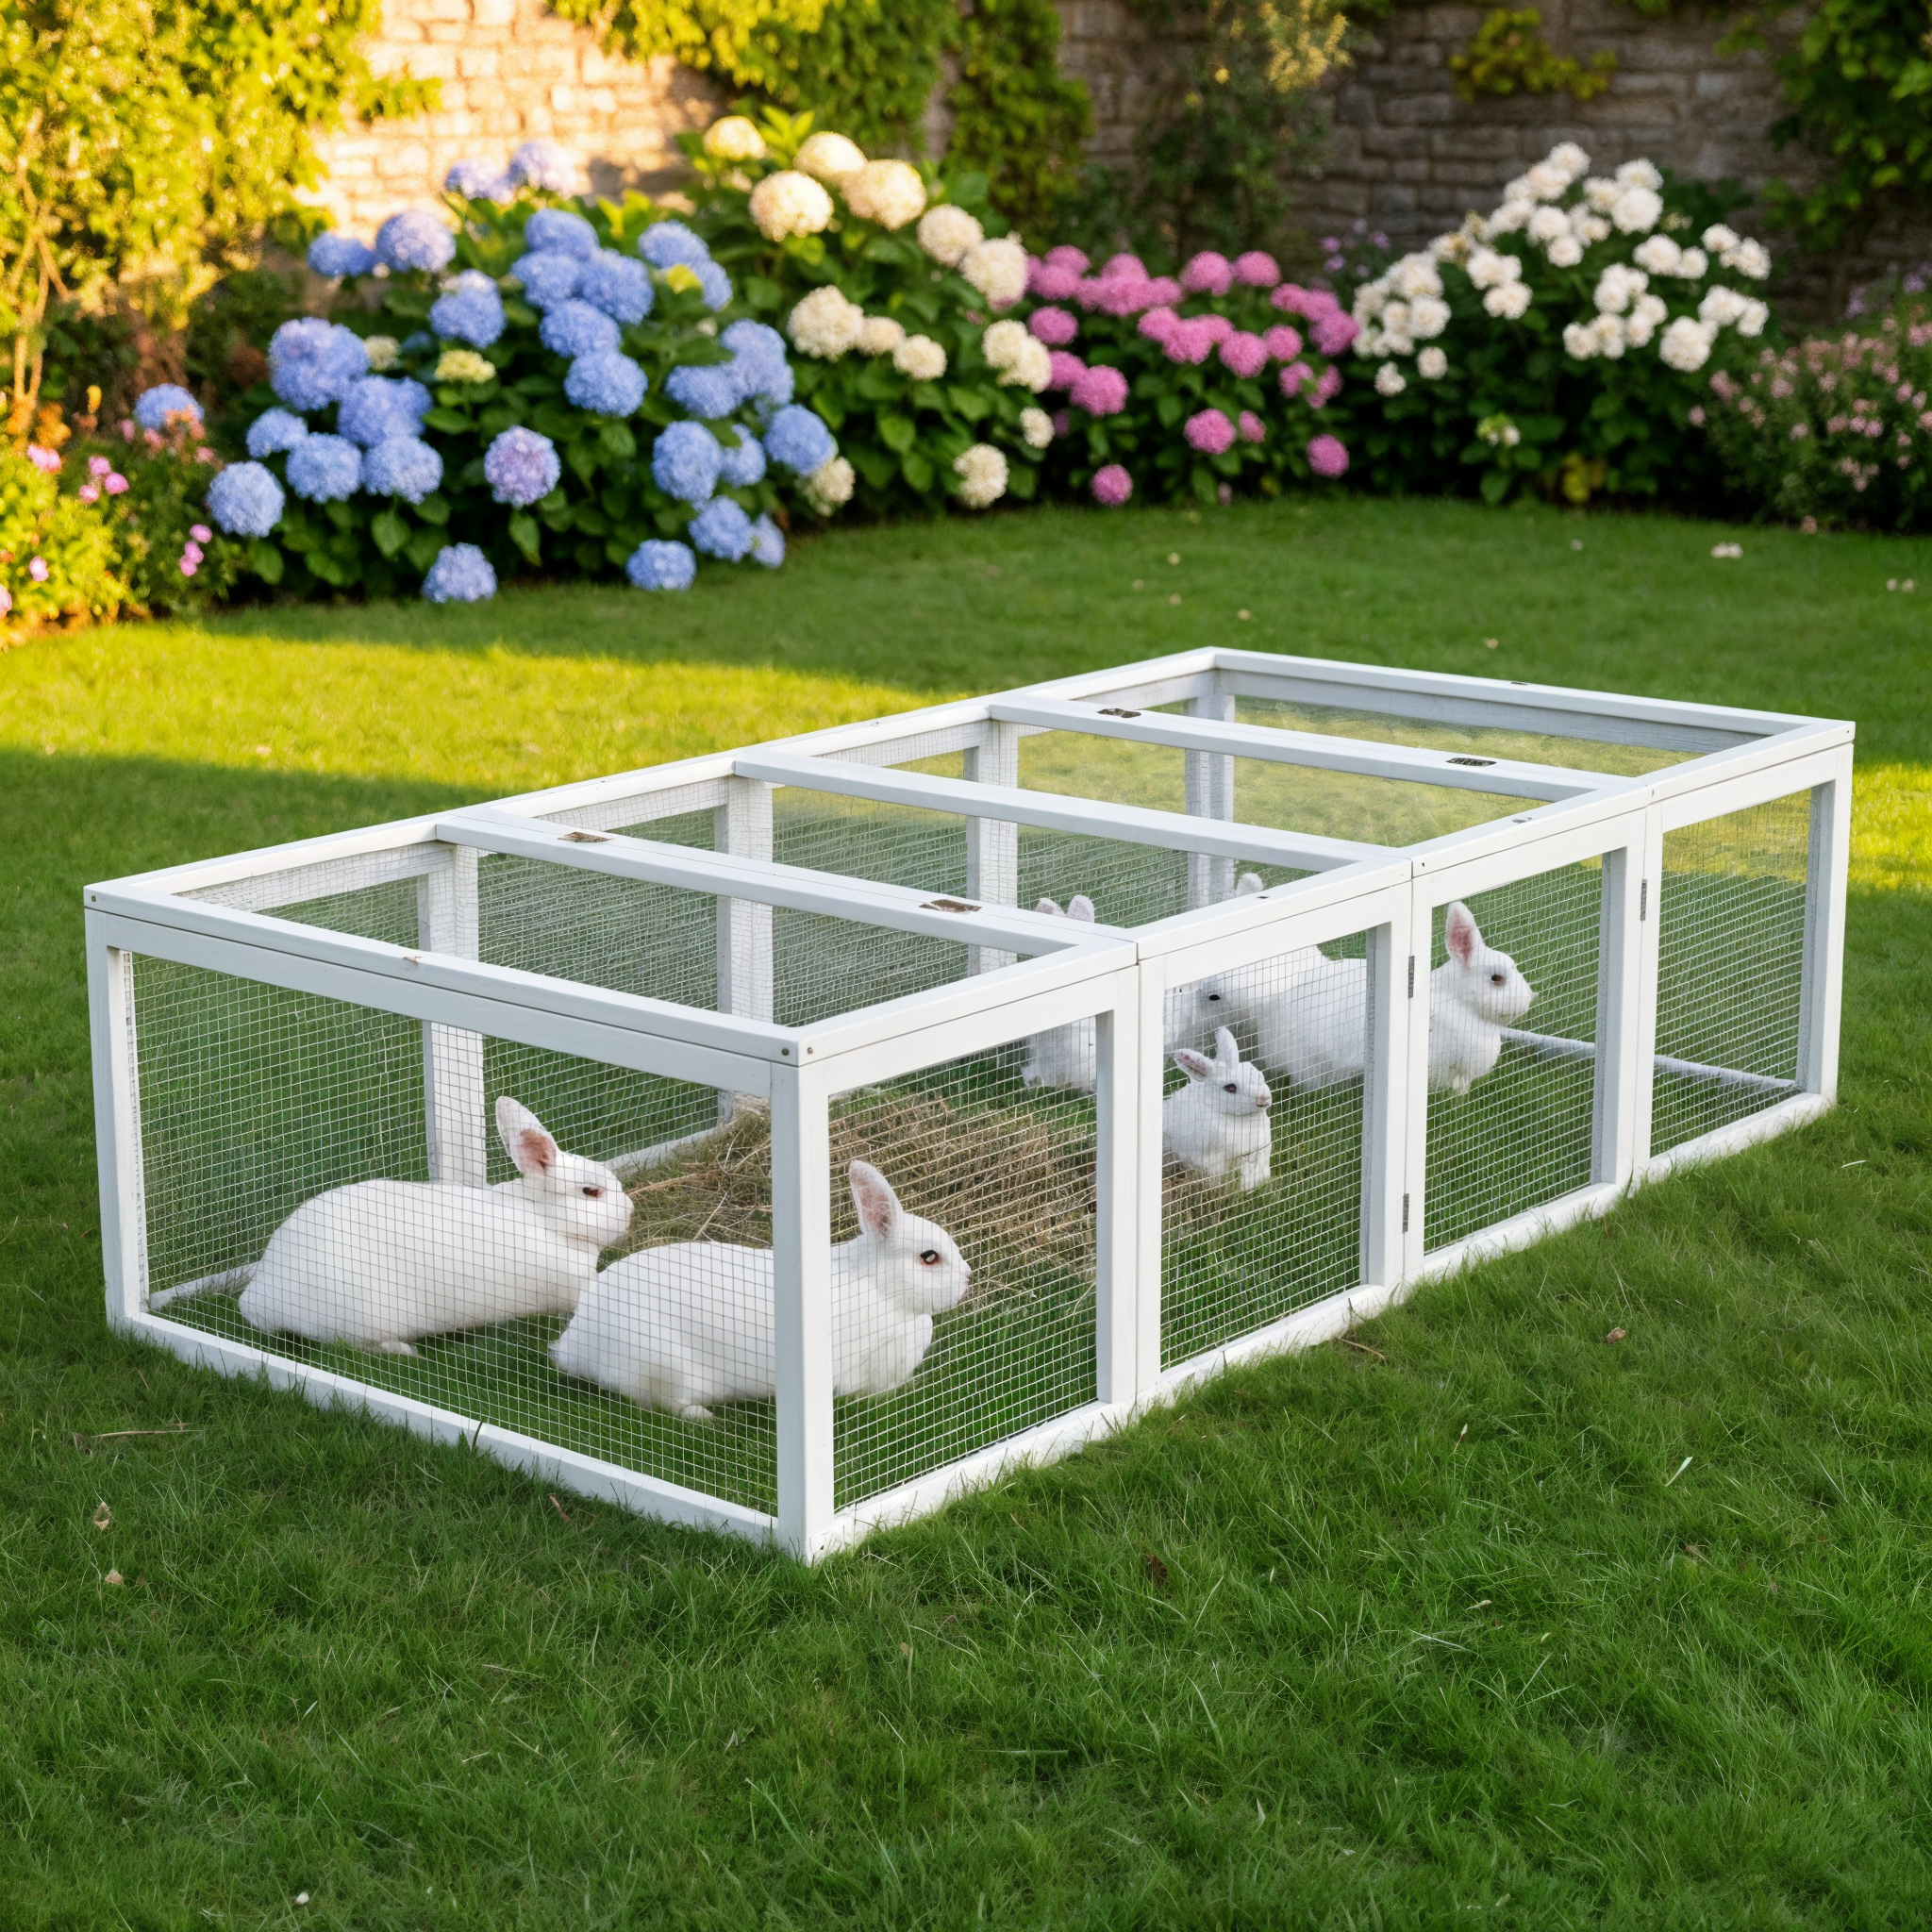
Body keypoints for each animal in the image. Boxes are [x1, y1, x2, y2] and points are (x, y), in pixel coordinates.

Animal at [230, 1097, 632, 1355]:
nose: (629, 1211)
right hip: (364, 1317)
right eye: (591, 1191)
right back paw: (406, 1351)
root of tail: (262, 1295)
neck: (549, 1222)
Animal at [550, 1161, 970, 1419]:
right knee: (659, 1403)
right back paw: (704, 1417)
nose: (968, 1278)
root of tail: (576, 1343)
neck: (883, 1290)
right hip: (660, 1363)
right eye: (929, 1257)